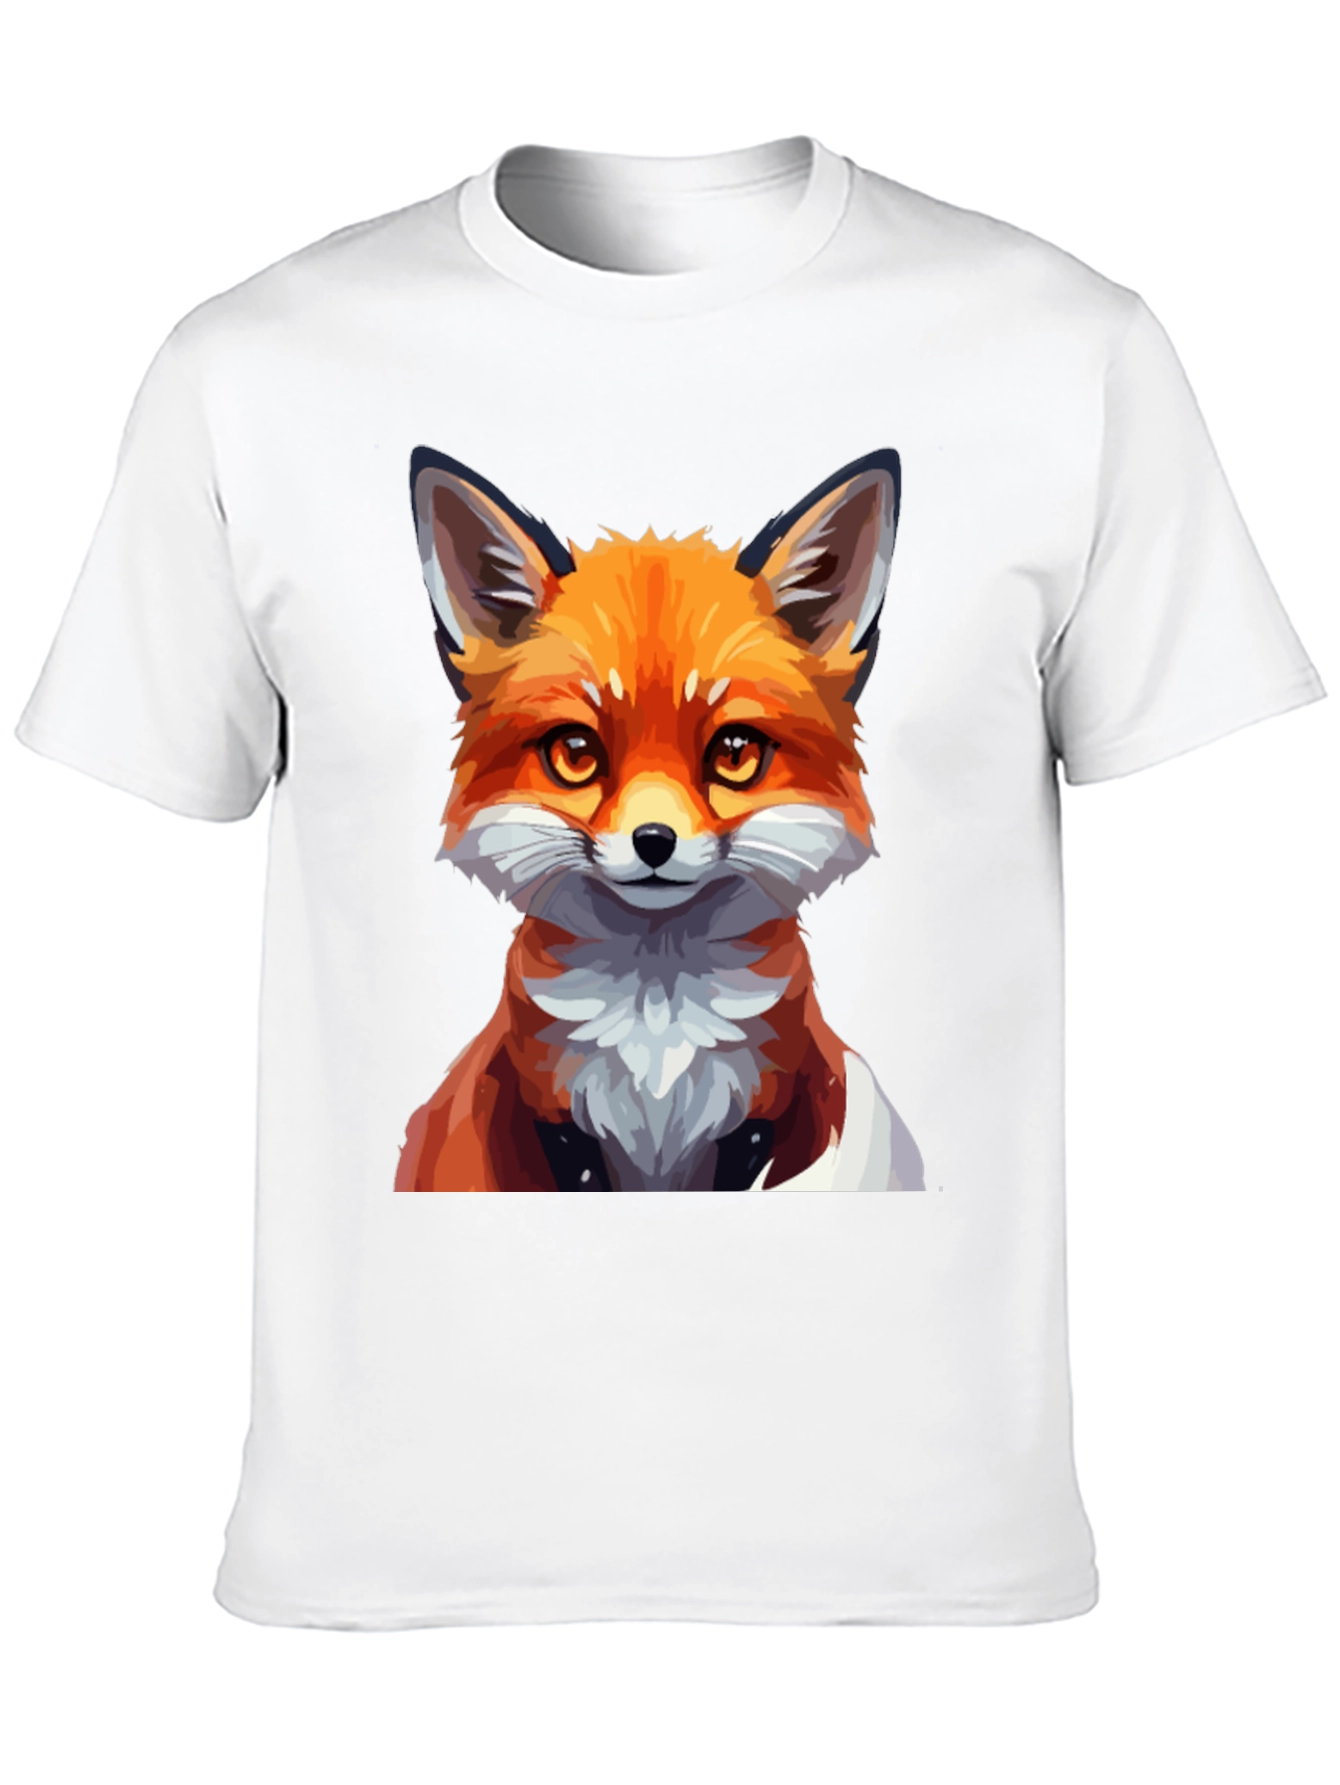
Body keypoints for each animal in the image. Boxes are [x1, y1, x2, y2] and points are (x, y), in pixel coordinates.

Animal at [393, 446, 925, 1194]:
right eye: (576, 753)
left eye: (734, 752)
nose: (653, 841)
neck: (656, 1011)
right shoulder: (558, 1118)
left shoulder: (758, 1116)